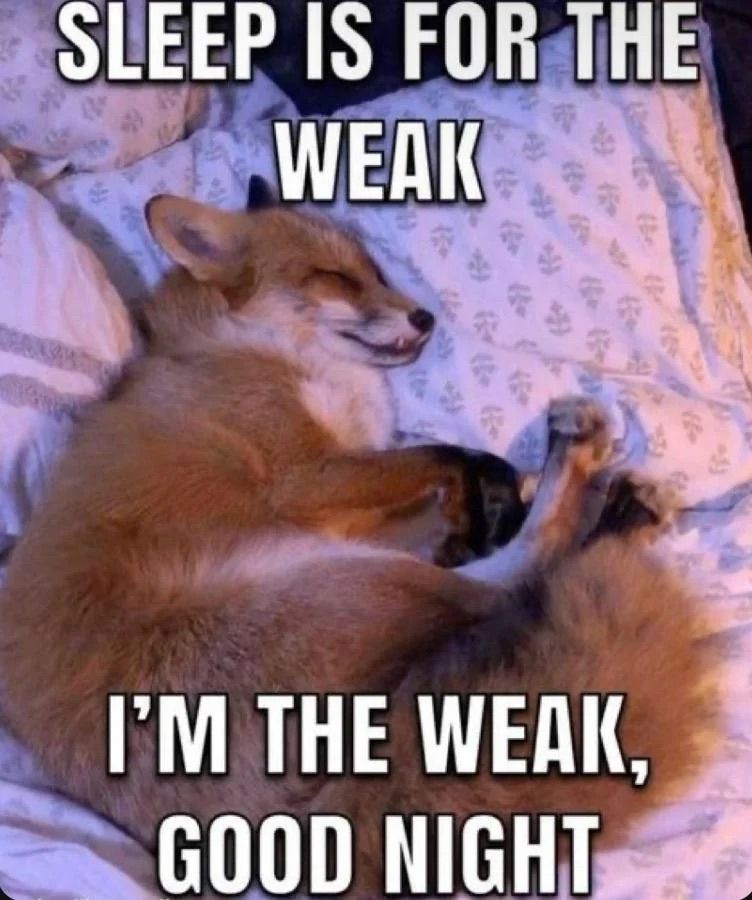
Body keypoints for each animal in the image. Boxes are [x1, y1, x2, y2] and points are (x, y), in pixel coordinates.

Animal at [0, 179, 713, 896]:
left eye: (377, 273)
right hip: (343, 572)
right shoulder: (303, 483)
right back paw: (592, 482)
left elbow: (453, 489)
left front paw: (488, 506)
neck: (250, 345)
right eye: (335, 278)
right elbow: (447, 457)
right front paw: (493, 491)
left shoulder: (349, 512)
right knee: (513, 580)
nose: (424, 318)